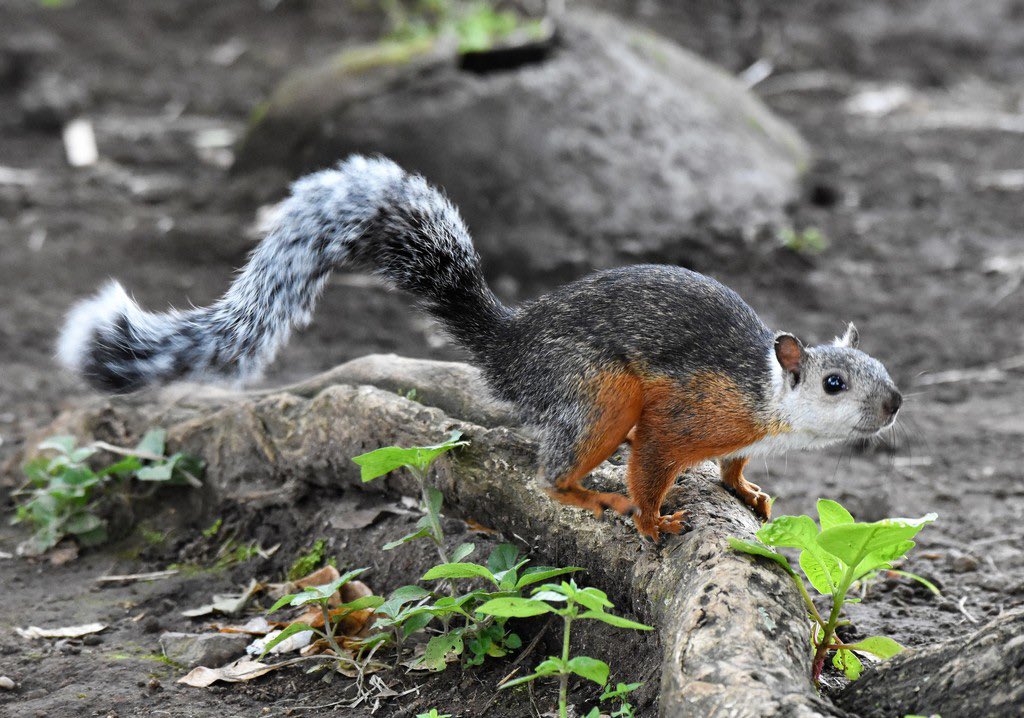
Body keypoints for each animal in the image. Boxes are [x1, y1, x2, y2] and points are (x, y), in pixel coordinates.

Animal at [57, 156, 902, 541]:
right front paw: (652, 521)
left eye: (883, 369)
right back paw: (586, 494)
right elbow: (655, 466)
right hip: (598, 392)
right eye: (833, 383)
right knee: (551, 472)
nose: (894, 405)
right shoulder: (684, 416)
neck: (765, 397)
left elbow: (732, 467)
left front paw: (749, 491)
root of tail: (511, 345)